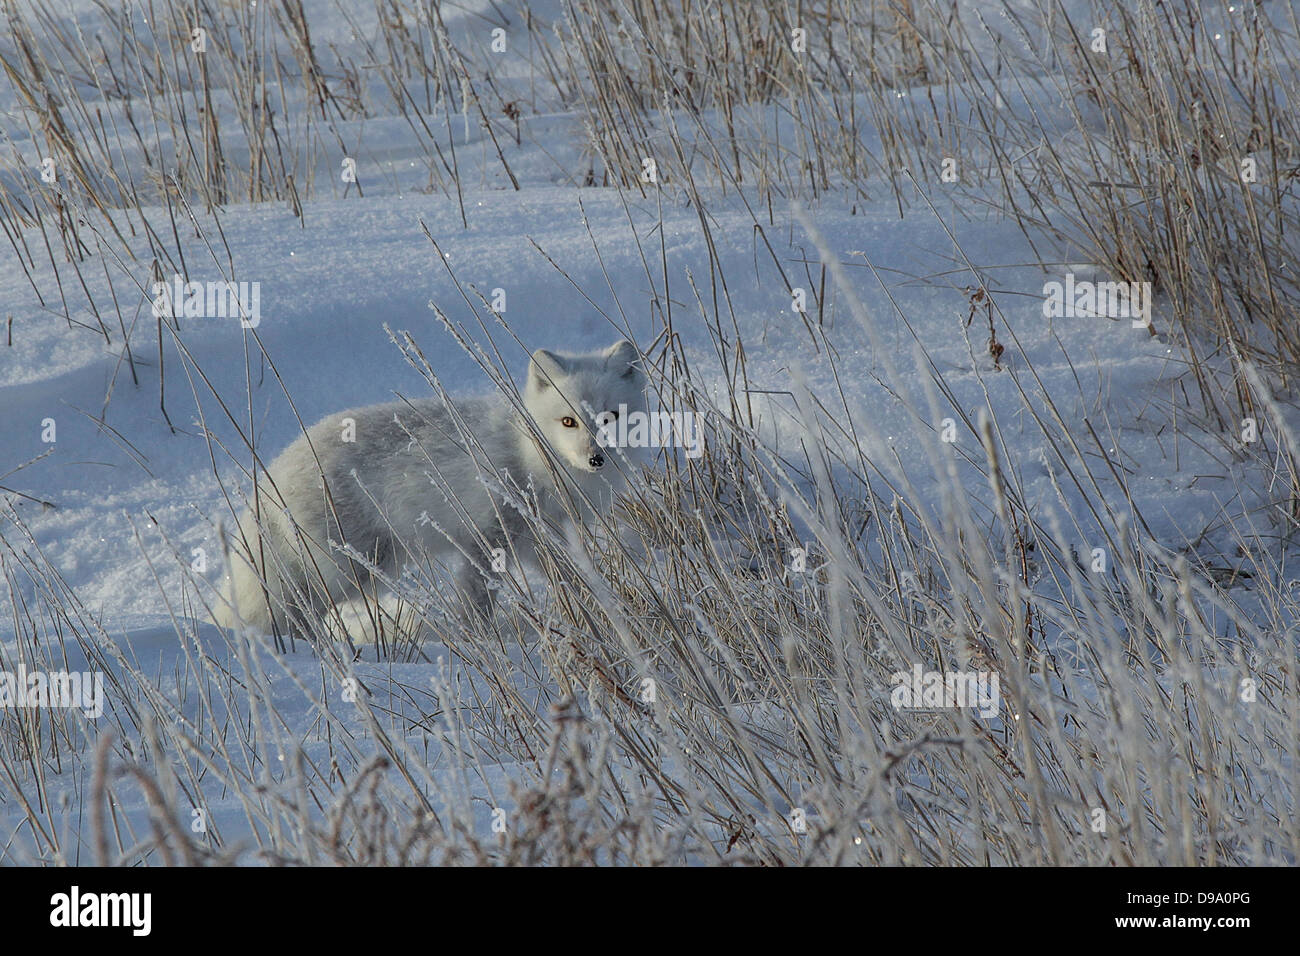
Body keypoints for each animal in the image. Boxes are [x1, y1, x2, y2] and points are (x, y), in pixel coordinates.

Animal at [215, 338, 647, 634]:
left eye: (610, 416)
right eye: (568, 421)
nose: (595, 459)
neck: (530, 458)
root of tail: (275, 468)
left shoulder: (544, 539)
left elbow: (576, 583)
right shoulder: (486, 538)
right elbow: (477, 601)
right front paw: (482, 638)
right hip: (352, 569)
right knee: (297, 610)